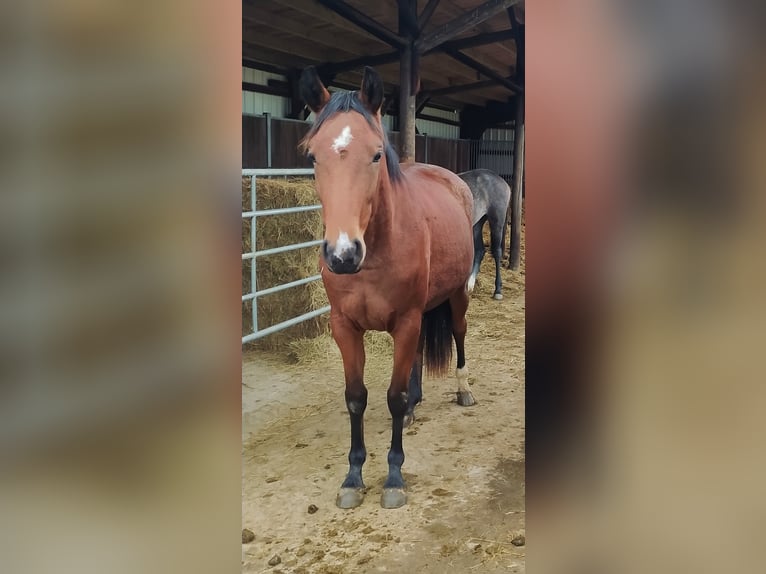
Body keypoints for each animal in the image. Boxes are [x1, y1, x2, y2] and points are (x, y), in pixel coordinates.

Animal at [302, 65, 476, 510]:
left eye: (377, 154)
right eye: (312, 156)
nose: (343, 254)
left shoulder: (407, 320)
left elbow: (392, 397)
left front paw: (394, 478)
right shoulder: (345, 327)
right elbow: (356, 397)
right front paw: (352, 476)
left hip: (455, 297)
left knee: (459, 335)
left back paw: (464, 390)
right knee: (416, 358)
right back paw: (416, 405)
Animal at [460, 169, 512, 302]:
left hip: (496, 221)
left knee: (496, 251)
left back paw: (497, 291)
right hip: (477, 223)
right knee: (480, 251)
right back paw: (470, 285)